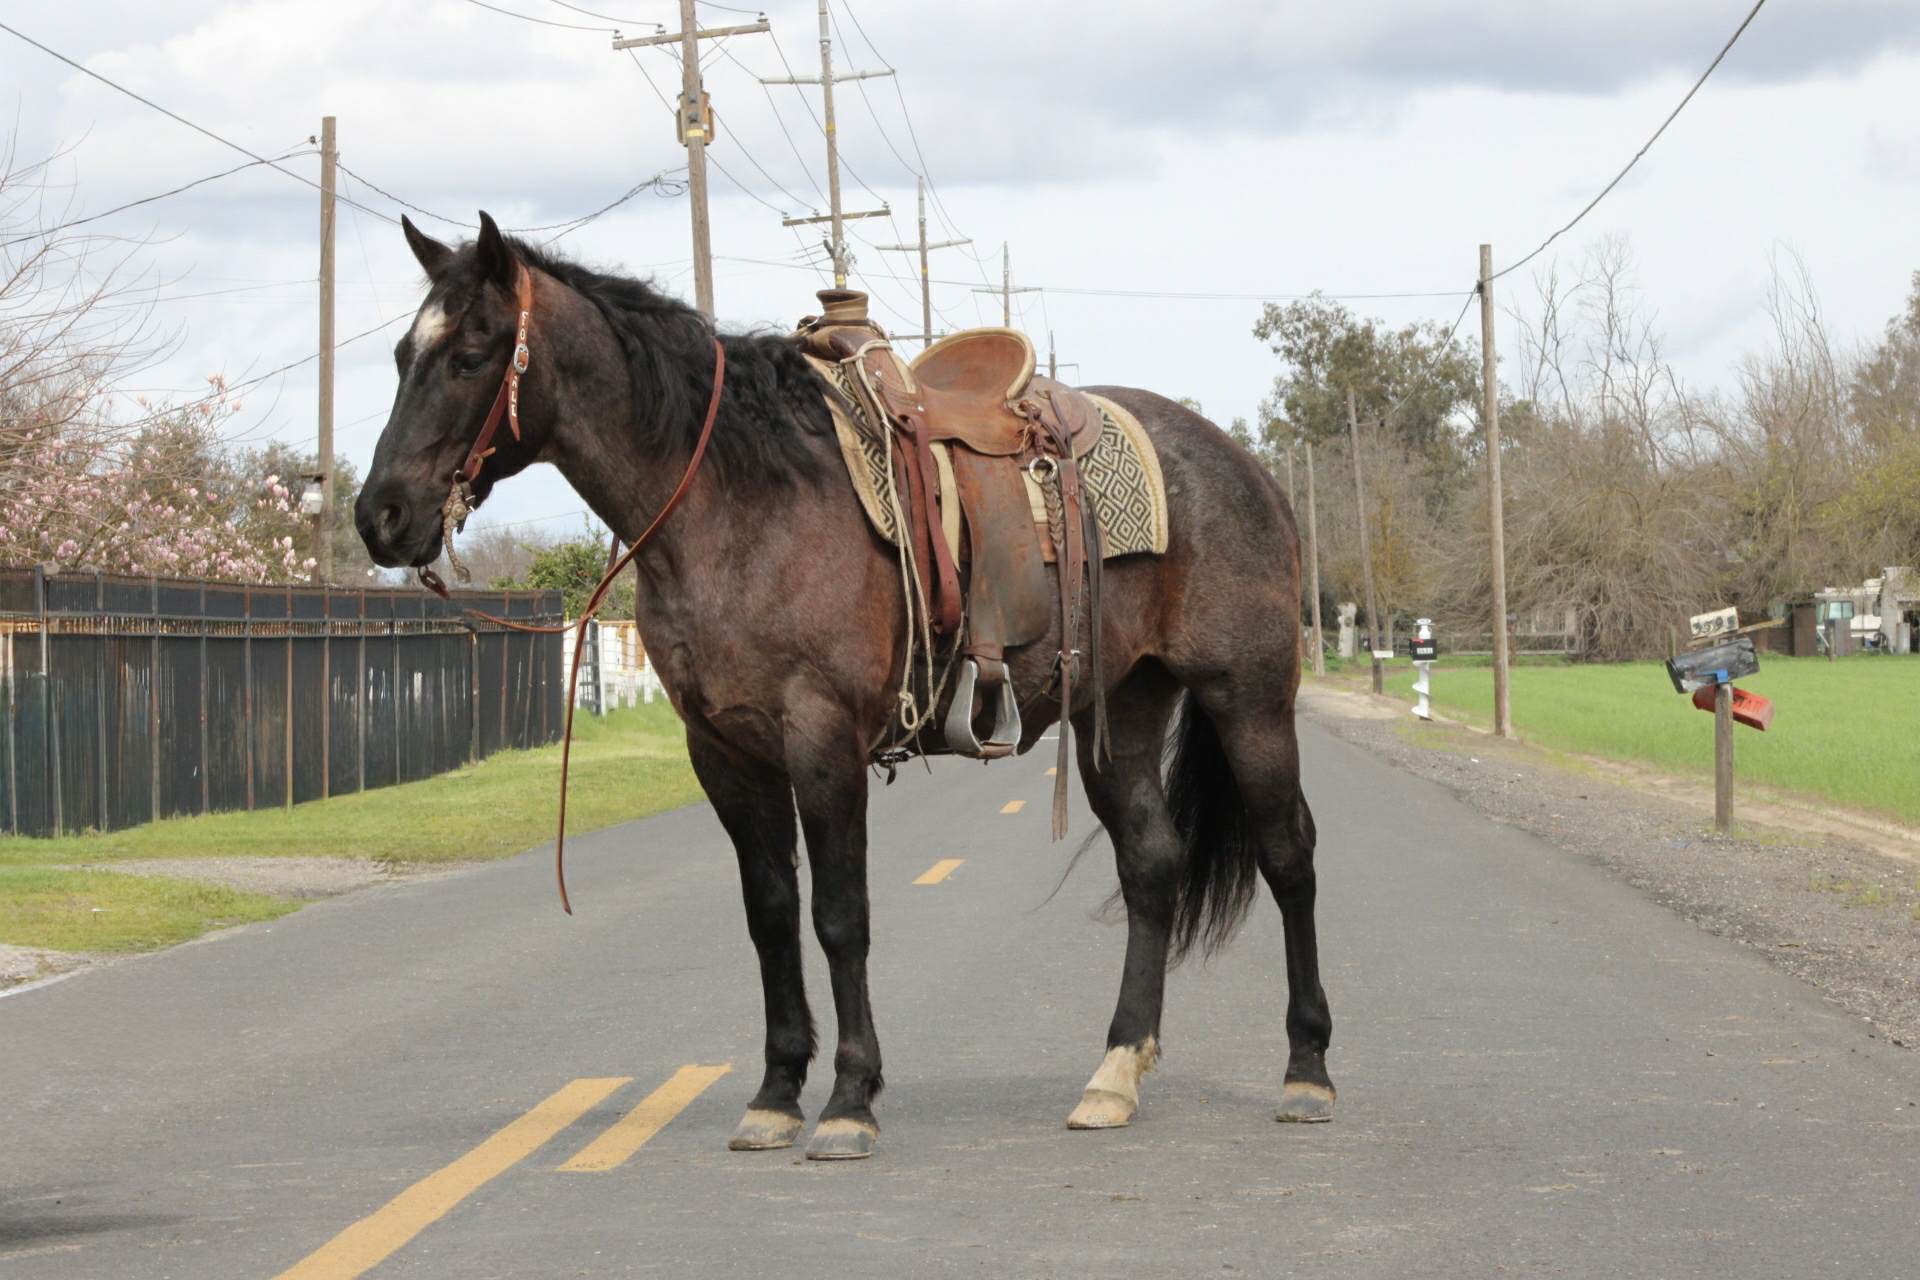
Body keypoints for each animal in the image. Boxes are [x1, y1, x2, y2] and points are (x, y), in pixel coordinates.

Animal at [355, 211, 1332, 1161]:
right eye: (401, 354)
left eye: (472, 353)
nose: (381, 515)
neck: (739, 504)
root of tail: (1242, 466)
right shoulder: (724, 752)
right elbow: (771, 916)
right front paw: (776, 1093)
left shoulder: (823, 739)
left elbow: (839, 916)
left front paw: (850, 1100)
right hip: (1122, 709)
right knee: (1151, 863)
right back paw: (1115, 1075)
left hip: (1248, 698)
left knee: (1287, 854)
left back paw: (1307, 1072)